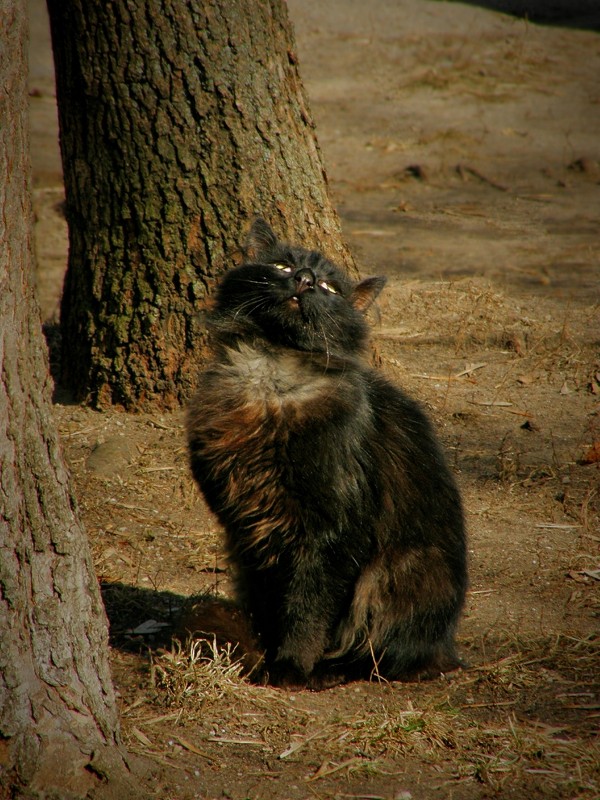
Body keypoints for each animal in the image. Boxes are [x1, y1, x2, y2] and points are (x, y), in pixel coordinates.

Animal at [185, 217, 466, 688]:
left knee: (387, 656)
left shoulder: (330, 531)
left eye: (329, 287)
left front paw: (291, 667)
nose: (303, 279)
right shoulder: (249, 530)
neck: (272, 380)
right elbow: (270, 606)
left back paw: (331, 670)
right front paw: (264, 655)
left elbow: (307, 609)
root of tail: (447, 645)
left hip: (400, 570)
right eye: (281, 265)